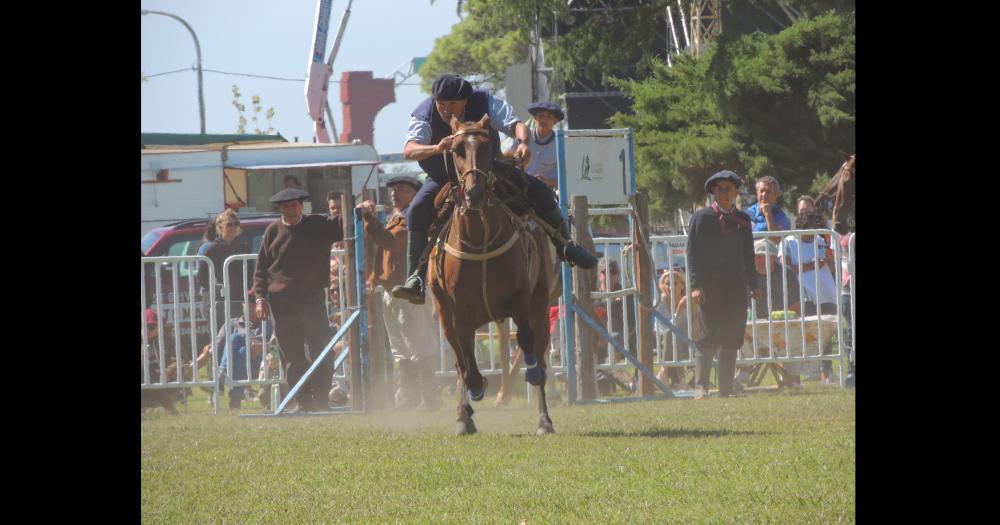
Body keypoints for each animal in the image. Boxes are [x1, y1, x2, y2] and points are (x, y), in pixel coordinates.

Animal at [428, 113, 560, 434]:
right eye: (457, 149)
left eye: (487, 147)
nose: (474, 192)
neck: (479, 240)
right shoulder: (456, 310)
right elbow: (465, 356)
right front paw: (474, 393)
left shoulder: (522, 300)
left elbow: (526, 340)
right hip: (445, 313)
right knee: (459, 361)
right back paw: (464, 414)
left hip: (540, 303)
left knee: (538, 351)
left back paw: (544, 418)